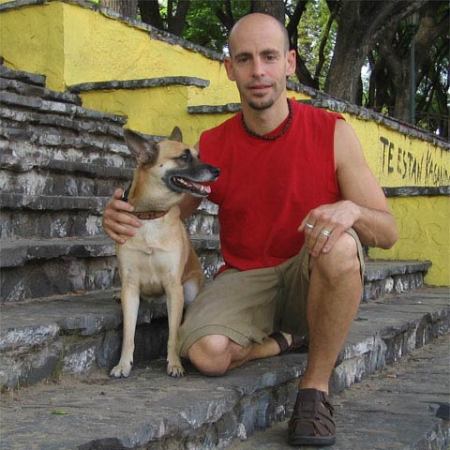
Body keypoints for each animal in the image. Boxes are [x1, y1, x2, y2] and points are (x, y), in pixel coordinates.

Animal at [110, 126, 220, 376]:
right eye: (184, 157)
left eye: (198, 155)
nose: (217, 171)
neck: (151, 215)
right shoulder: (130, 286)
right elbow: (129, 333)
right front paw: (123, 364)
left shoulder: (173, 286)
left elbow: (173, 335)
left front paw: (175, 364)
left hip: (188, 290)